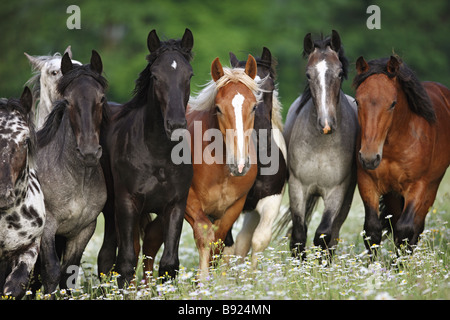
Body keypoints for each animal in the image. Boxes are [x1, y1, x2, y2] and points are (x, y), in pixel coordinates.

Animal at [36, 51, 108, 294]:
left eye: (102, 98)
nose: (89, 152)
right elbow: (51, 271)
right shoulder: (47, 228)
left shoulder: (83, 229)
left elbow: (69, 273)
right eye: (67, 101)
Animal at [97, 29, 194, 284]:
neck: (158, 154)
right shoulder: (127, 203)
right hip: (111, 210)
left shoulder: (175, 205)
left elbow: (168, 262)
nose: (176, 124)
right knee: (108, 255)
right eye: (156, 76)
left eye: (189, 75)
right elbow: (126, 262)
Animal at [284, 31, 358, 258]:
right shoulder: (297, 187)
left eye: (340, 73)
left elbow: (323, 235)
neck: (321, 146)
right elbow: (298, 236)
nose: (326, 124)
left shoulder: (337, 191)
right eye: (308, 75)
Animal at [356, 55, 450, 250]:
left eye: (393, 103)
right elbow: (372, 230)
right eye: (357, 101)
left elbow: (405, 230)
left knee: (417, 226)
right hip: (392, 194)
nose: (369, 158)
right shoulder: (367, 182)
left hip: (431, 187)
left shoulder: (417, 185)